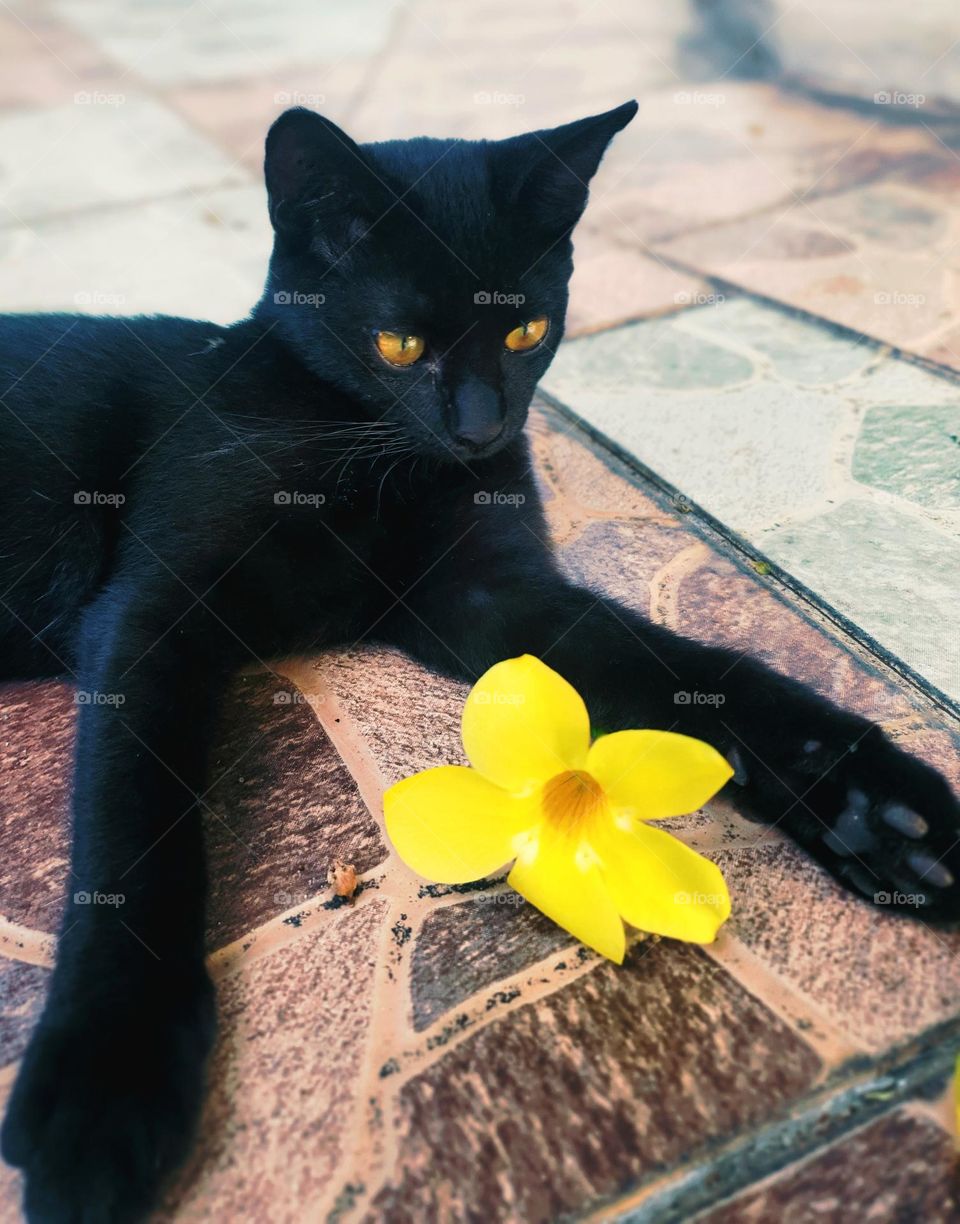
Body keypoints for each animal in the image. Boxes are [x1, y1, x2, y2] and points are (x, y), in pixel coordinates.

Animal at [1, 105, 960, 1224]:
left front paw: (876, 806)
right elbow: (131, 827)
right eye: (399, 343)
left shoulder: (494, 599)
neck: (370, 448)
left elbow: (693, 668)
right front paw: (107, 1075)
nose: (482, 427)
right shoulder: (150, 617)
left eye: (526, 333)